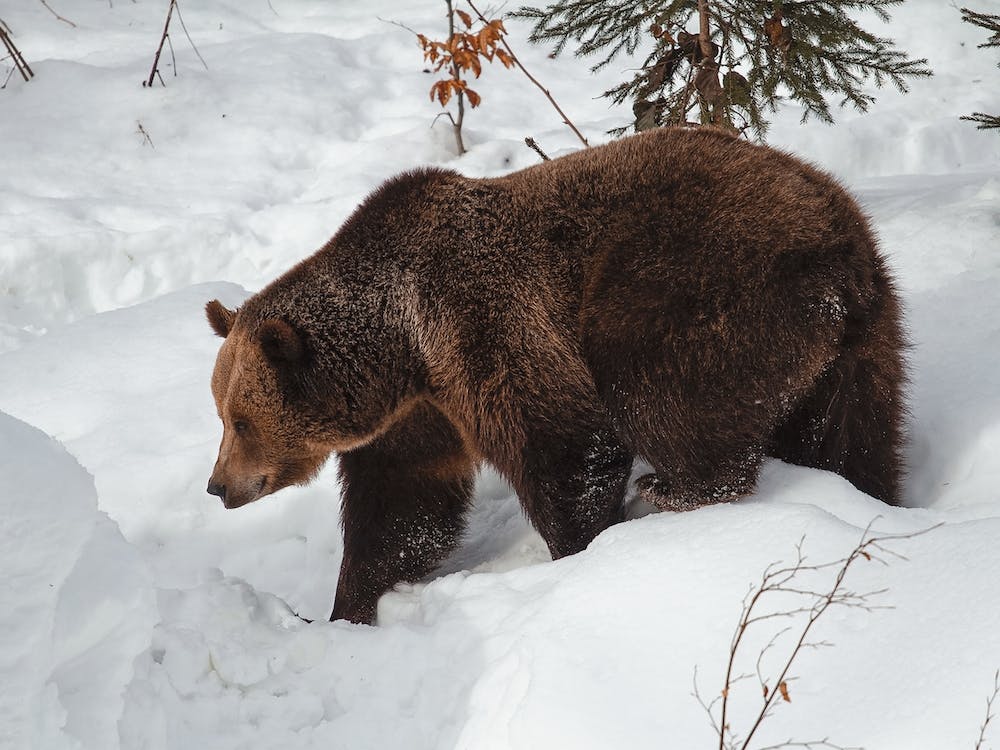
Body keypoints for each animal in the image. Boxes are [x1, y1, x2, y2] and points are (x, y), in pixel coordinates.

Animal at [205, 126, 906, 625]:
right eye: (221, 414)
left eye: (241, 420)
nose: (218, 486)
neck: (403, 345)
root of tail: (836, 251)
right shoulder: (420, 413)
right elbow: (403, 505)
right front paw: (347, 607)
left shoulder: (485, 326)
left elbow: (566, 447)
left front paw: (582, 552)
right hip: (865, 338)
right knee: (851, 438)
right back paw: (868, 495)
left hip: (694, 284)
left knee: (658, 391)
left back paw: (674, 488)